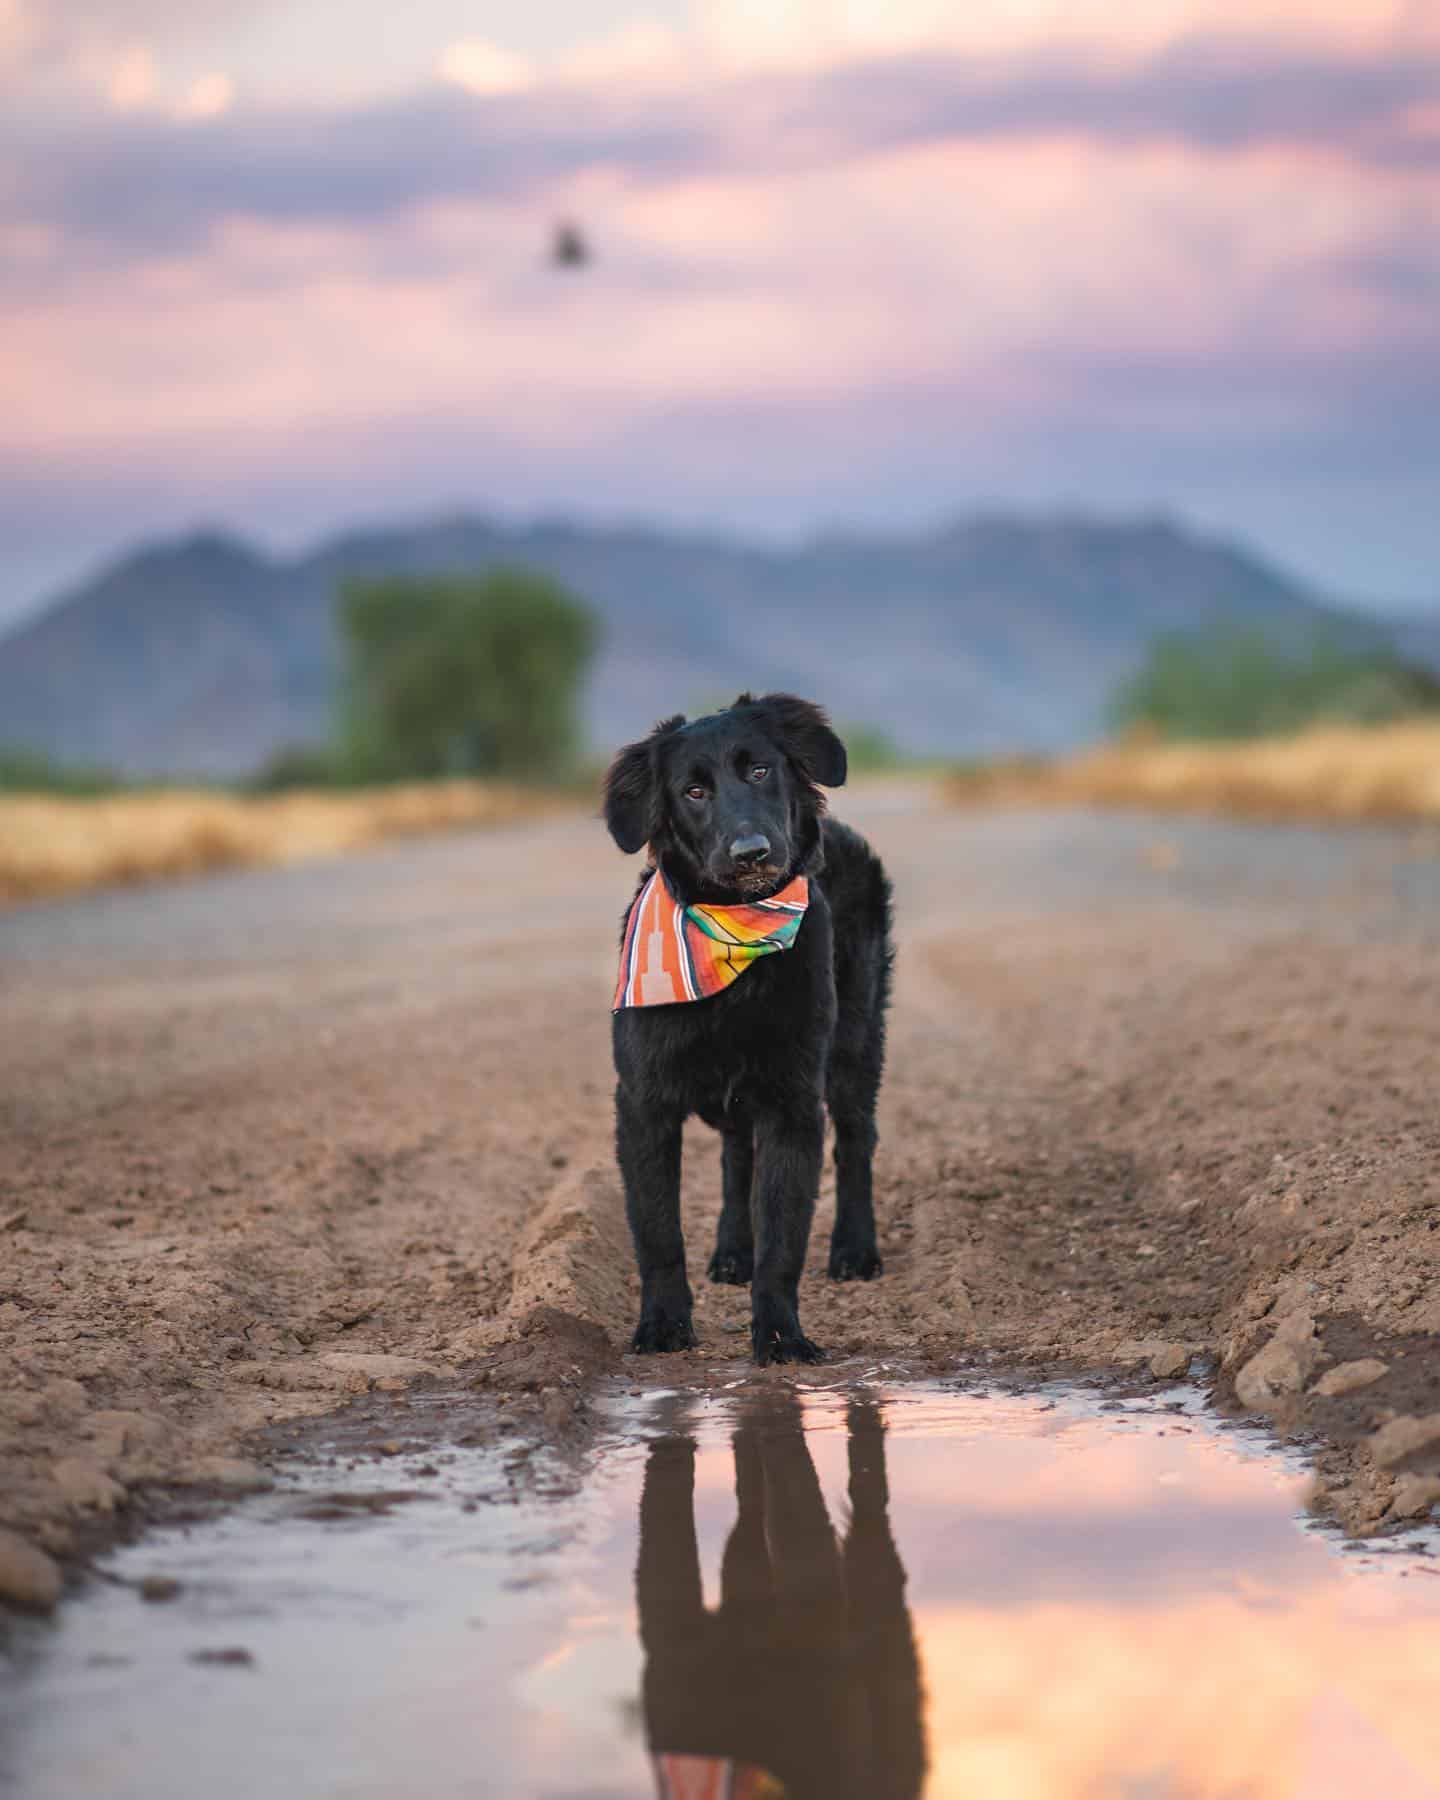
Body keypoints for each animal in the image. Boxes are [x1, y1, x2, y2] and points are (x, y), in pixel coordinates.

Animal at [604, 691, 892, 1360]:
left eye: (760, 770)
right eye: (693, 791)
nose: (751, 853)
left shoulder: (793, 1102)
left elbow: (783, 1237)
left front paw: (782, 1335)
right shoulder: (643, 1103)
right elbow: (658, 1231)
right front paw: (663, 1324)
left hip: (854, 1048)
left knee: (857, 1141)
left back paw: (854, 1248)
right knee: (737, 1157)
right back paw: (733, 1251)